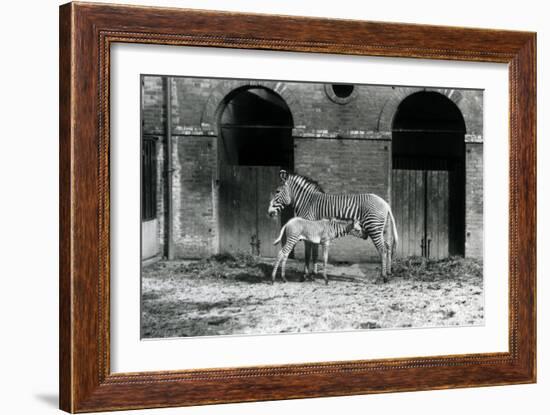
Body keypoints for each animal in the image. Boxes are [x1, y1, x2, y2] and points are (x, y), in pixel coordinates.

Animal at [270, 169, 398, 282]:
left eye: (277, 191)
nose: (269, 213)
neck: (308, 202)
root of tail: (386, 204)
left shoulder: (309, 228)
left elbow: (308, 254)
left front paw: (306, 275)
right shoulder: (313, 231)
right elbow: (315, 253)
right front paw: (313, 274)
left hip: (373, 227)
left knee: (382, 249)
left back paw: (383, 277)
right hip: (380, 229)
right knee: (387, 247)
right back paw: (388, 273)